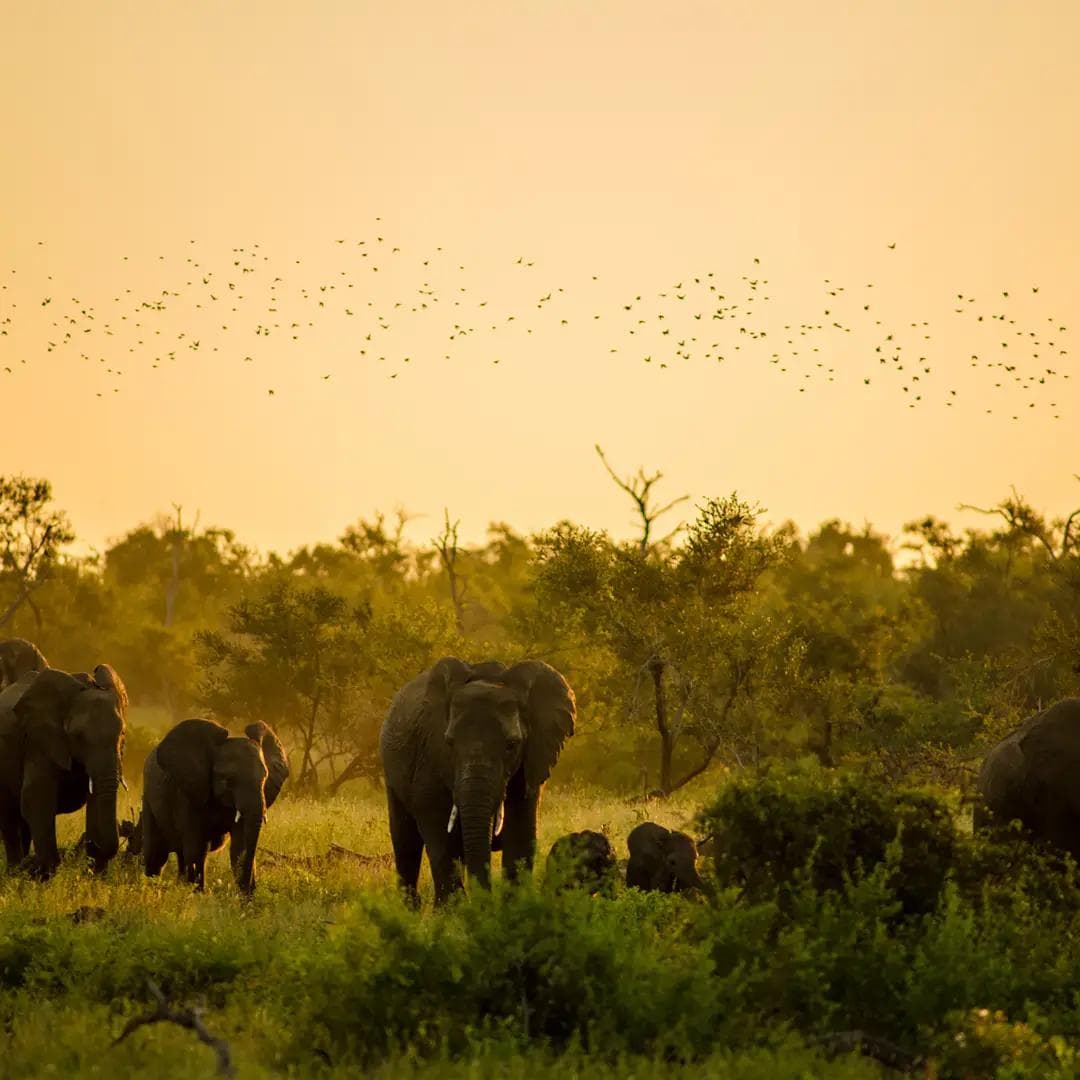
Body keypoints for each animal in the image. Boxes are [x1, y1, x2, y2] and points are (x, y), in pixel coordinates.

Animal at [0, 664, 128, 877]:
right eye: (78, 736)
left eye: (122, 734)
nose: (91, 846)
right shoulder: (39, 740)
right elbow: (36, 797)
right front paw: (40, 872)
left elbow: (96, 798)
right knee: (9, 816)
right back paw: (15, 870)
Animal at [142, 718, 289, 895]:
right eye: (229, 780)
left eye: (265, 778)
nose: (251, 893)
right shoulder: (188, 792)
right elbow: (195, 848)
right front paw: (196, 895)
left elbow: (240, 849)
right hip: (148, 798)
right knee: (156, 854)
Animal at [380, 656, 576, 904]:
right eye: (449, 743)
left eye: (512, 745)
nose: (484, 899)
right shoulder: (429, 760)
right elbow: (440, 838)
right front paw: (455, 911)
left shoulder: (529, 765)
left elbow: (520, 838)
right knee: (406, 843)